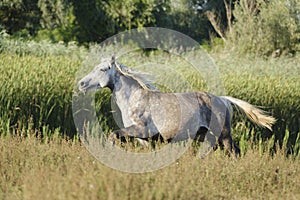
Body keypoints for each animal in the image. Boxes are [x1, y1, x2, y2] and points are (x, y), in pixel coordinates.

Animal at [78, 55, 276, 156]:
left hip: (224, 135)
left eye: (102, 69)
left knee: (234, 151)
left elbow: (113, 135)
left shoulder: (141, 130)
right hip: (206, 136)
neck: (133, 99)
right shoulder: (143, 139)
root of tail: (222, 99)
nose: (81, 83)